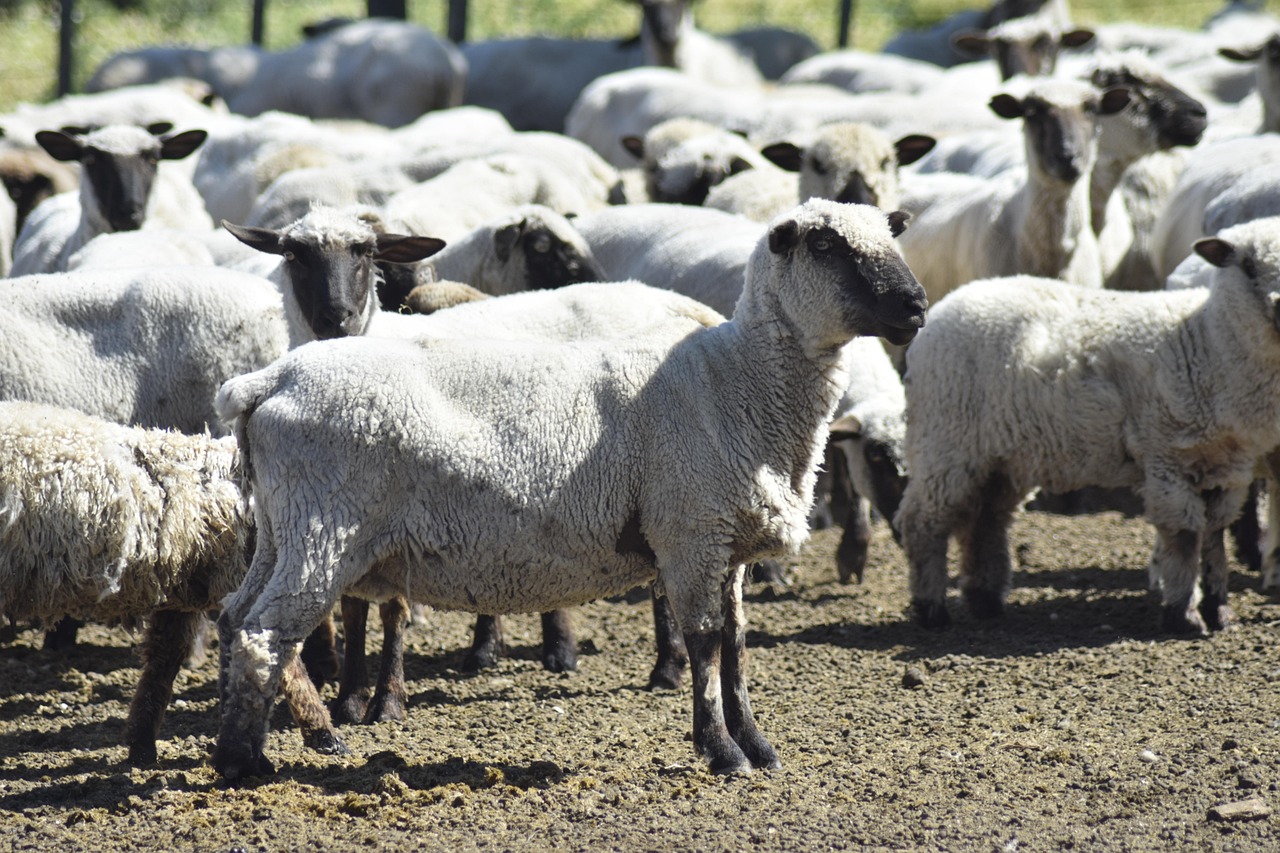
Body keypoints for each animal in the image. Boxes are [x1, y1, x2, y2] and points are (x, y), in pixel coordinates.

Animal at [0, 400, 340, 765]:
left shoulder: (183, 587)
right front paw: (323, 733)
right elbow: (283, 662)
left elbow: (163, 662)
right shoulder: (233, 579)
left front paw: (141, 744)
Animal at [208, 199, 927, 781]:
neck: (737, 380)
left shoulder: (727, 545)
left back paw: (246, 748)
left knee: (236, 617)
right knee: (267, 634)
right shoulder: (691, 532)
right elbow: (704, 641)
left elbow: (737, 644)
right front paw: (723, 751)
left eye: (891, 234)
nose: (916, 304)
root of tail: (266, 383)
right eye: (826, 245)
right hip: (323, 527)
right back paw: (249, 760)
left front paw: (756, 744)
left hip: (283, 528)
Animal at [897, 217, 1280, 634]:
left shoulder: (1225, 467)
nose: (1279, 306)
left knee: (985, 522)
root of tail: (947, 304)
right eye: (1247, 266)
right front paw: (1184, 615)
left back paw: (986, 600)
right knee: (922, 523)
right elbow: (1184, 536)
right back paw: (931, 608)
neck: (1203, 341)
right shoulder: (1166, 457)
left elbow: (1214, 535)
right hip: (944, 443)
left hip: (998, 458)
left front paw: (1219, 609)